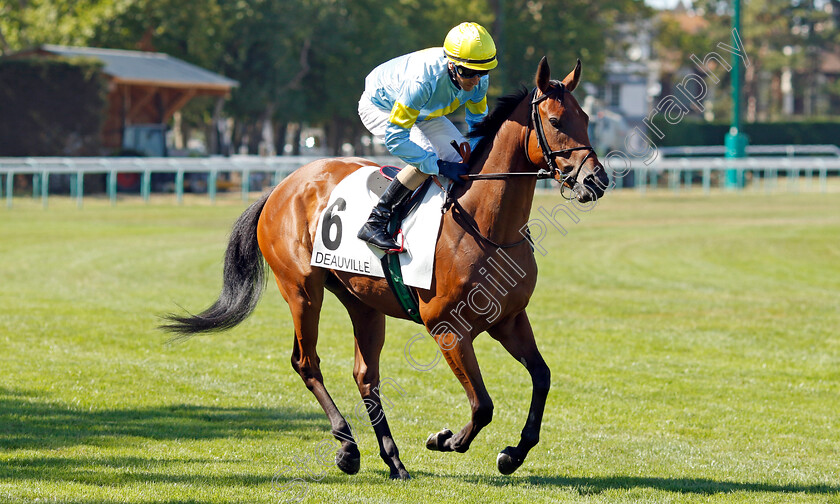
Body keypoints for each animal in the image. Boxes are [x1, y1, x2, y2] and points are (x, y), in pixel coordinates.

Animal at [162, 58, 612, 480]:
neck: (485, 225)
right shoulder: (448, 330)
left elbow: (542, 377)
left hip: (362, 301)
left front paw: (512, 454)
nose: (596, 180)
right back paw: (348, 447)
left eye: (587, 119)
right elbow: (483, 404)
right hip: (302, 290)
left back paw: (393, 460)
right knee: (307, 363)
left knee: (365, 375)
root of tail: (282, 186)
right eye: (555, 121)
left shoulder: (509, 319)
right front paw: (446, 439)